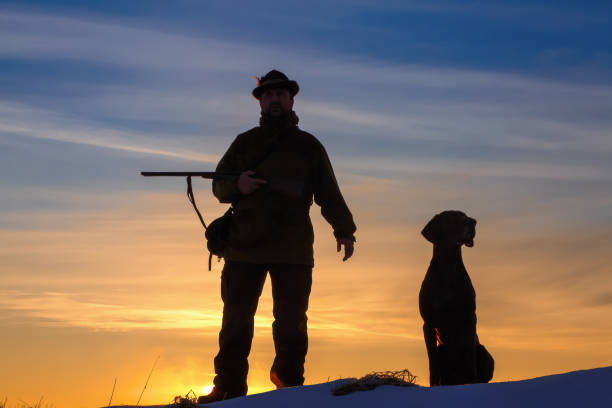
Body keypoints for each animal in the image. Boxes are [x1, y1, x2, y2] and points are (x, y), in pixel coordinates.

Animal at [420, 210, 492, 386]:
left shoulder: (469, 319)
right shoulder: (428, 324)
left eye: (465, 215)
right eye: (453, 217)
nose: (473, 222)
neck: (448, 267)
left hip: (484, 352)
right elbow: (432, 363)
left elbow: (469, 358)